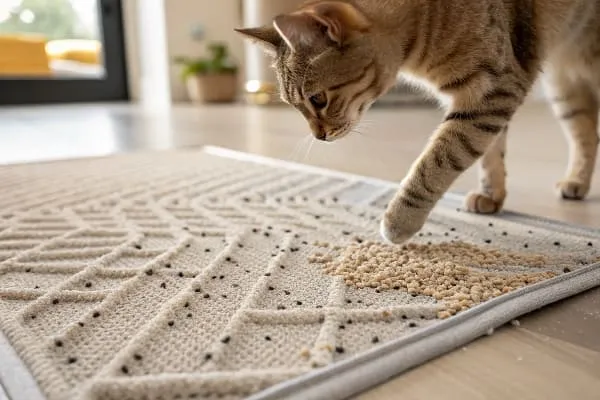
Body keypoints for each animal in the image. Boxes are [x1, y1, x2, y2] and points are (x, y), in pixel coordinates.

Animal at [237, 0, 596, 244]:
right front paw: (491, 196)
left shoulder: (492, 91)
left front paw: (399, 221)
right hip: (563, 86)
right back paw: (576, 181)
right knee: (586, 131)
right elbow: (491, 153)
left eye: (317, 99)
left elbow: (435, 162)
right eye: (293, 105)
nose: (318, 136)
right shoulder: (493, 98)